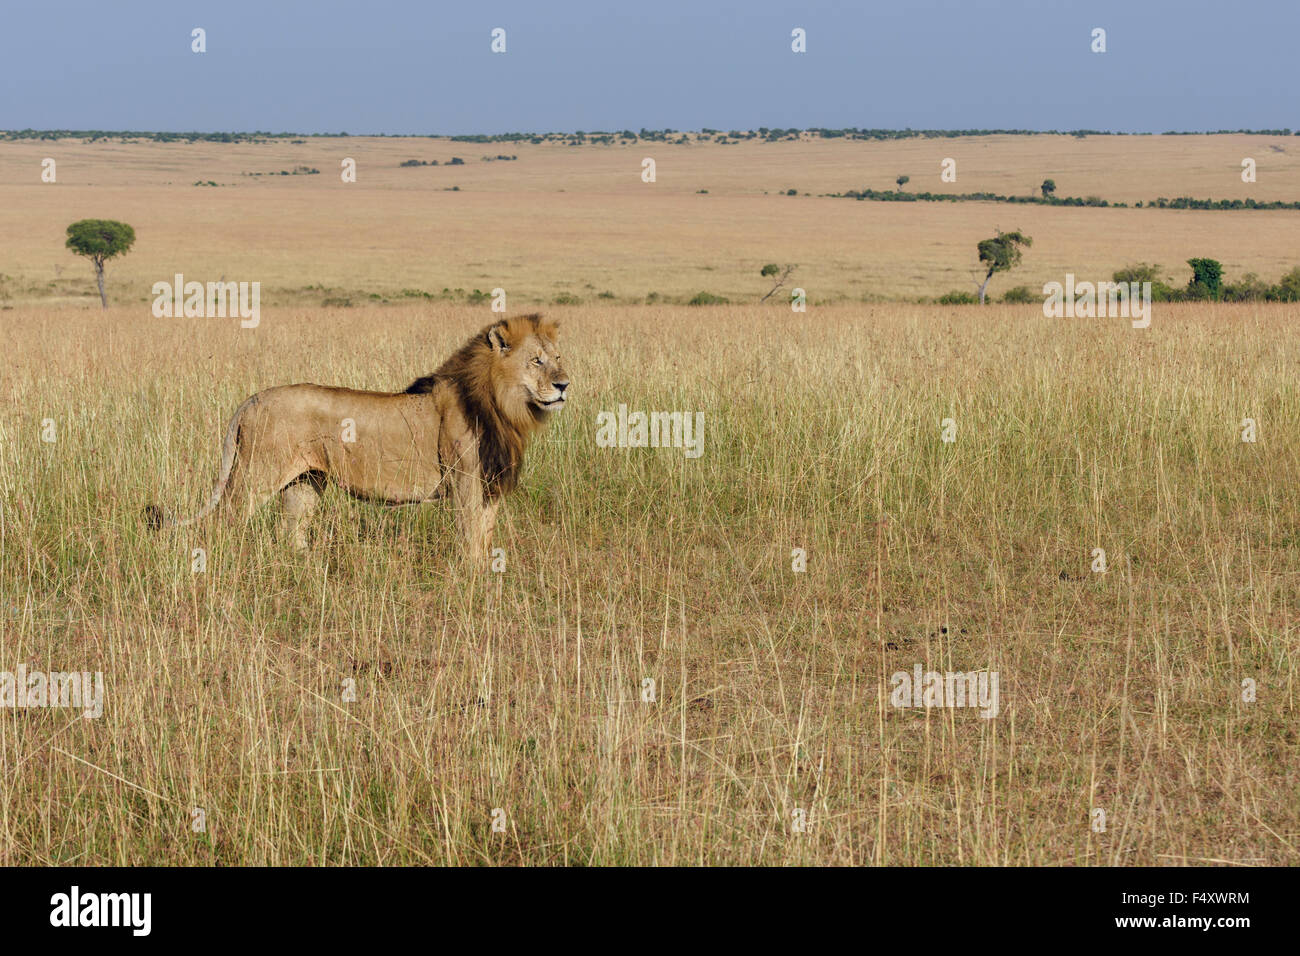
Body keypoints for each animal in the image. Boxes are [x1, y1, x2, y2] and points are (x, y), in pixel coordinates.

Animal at [144, 314, 566, 561]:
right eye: (537, 360)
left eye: (559, 358)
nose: (564, 384)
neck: (506, 406)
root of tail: (251, 399)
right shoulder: (465, 480)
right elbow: (471, 536)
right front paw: (471, 582)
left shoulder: (491, 483)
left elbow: (486, 534)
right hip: (254, 476)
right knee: (222, 522)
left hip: (305, 482)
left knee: (290, 532)